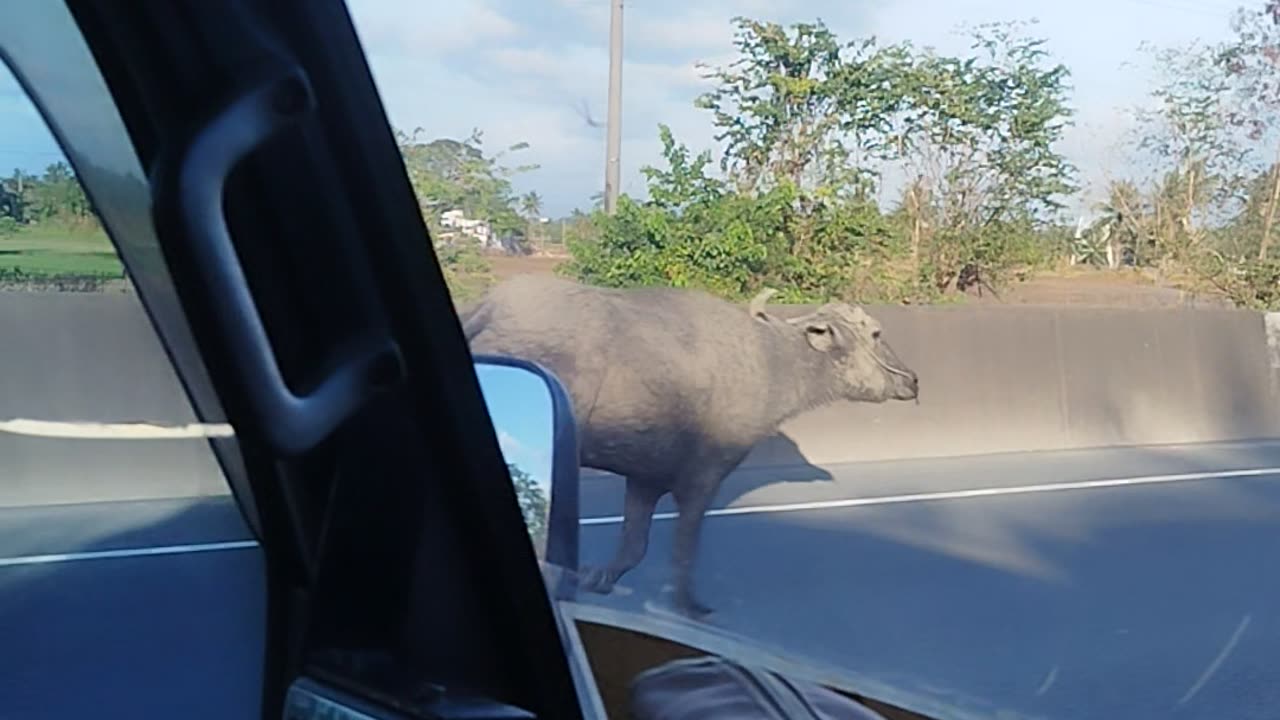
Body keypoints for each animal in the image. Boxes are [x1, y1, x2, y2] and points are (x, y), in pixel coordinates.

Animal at [460, 274, 921, 617]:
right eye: (875, 332)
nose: (914, 380)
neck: (771, 364)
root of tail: (488, 307)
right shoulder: (705, 476)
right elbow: (682, 550)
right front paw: (690, 606)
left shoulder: (644, 480)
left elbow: (634, 546)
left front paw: (597, 578)